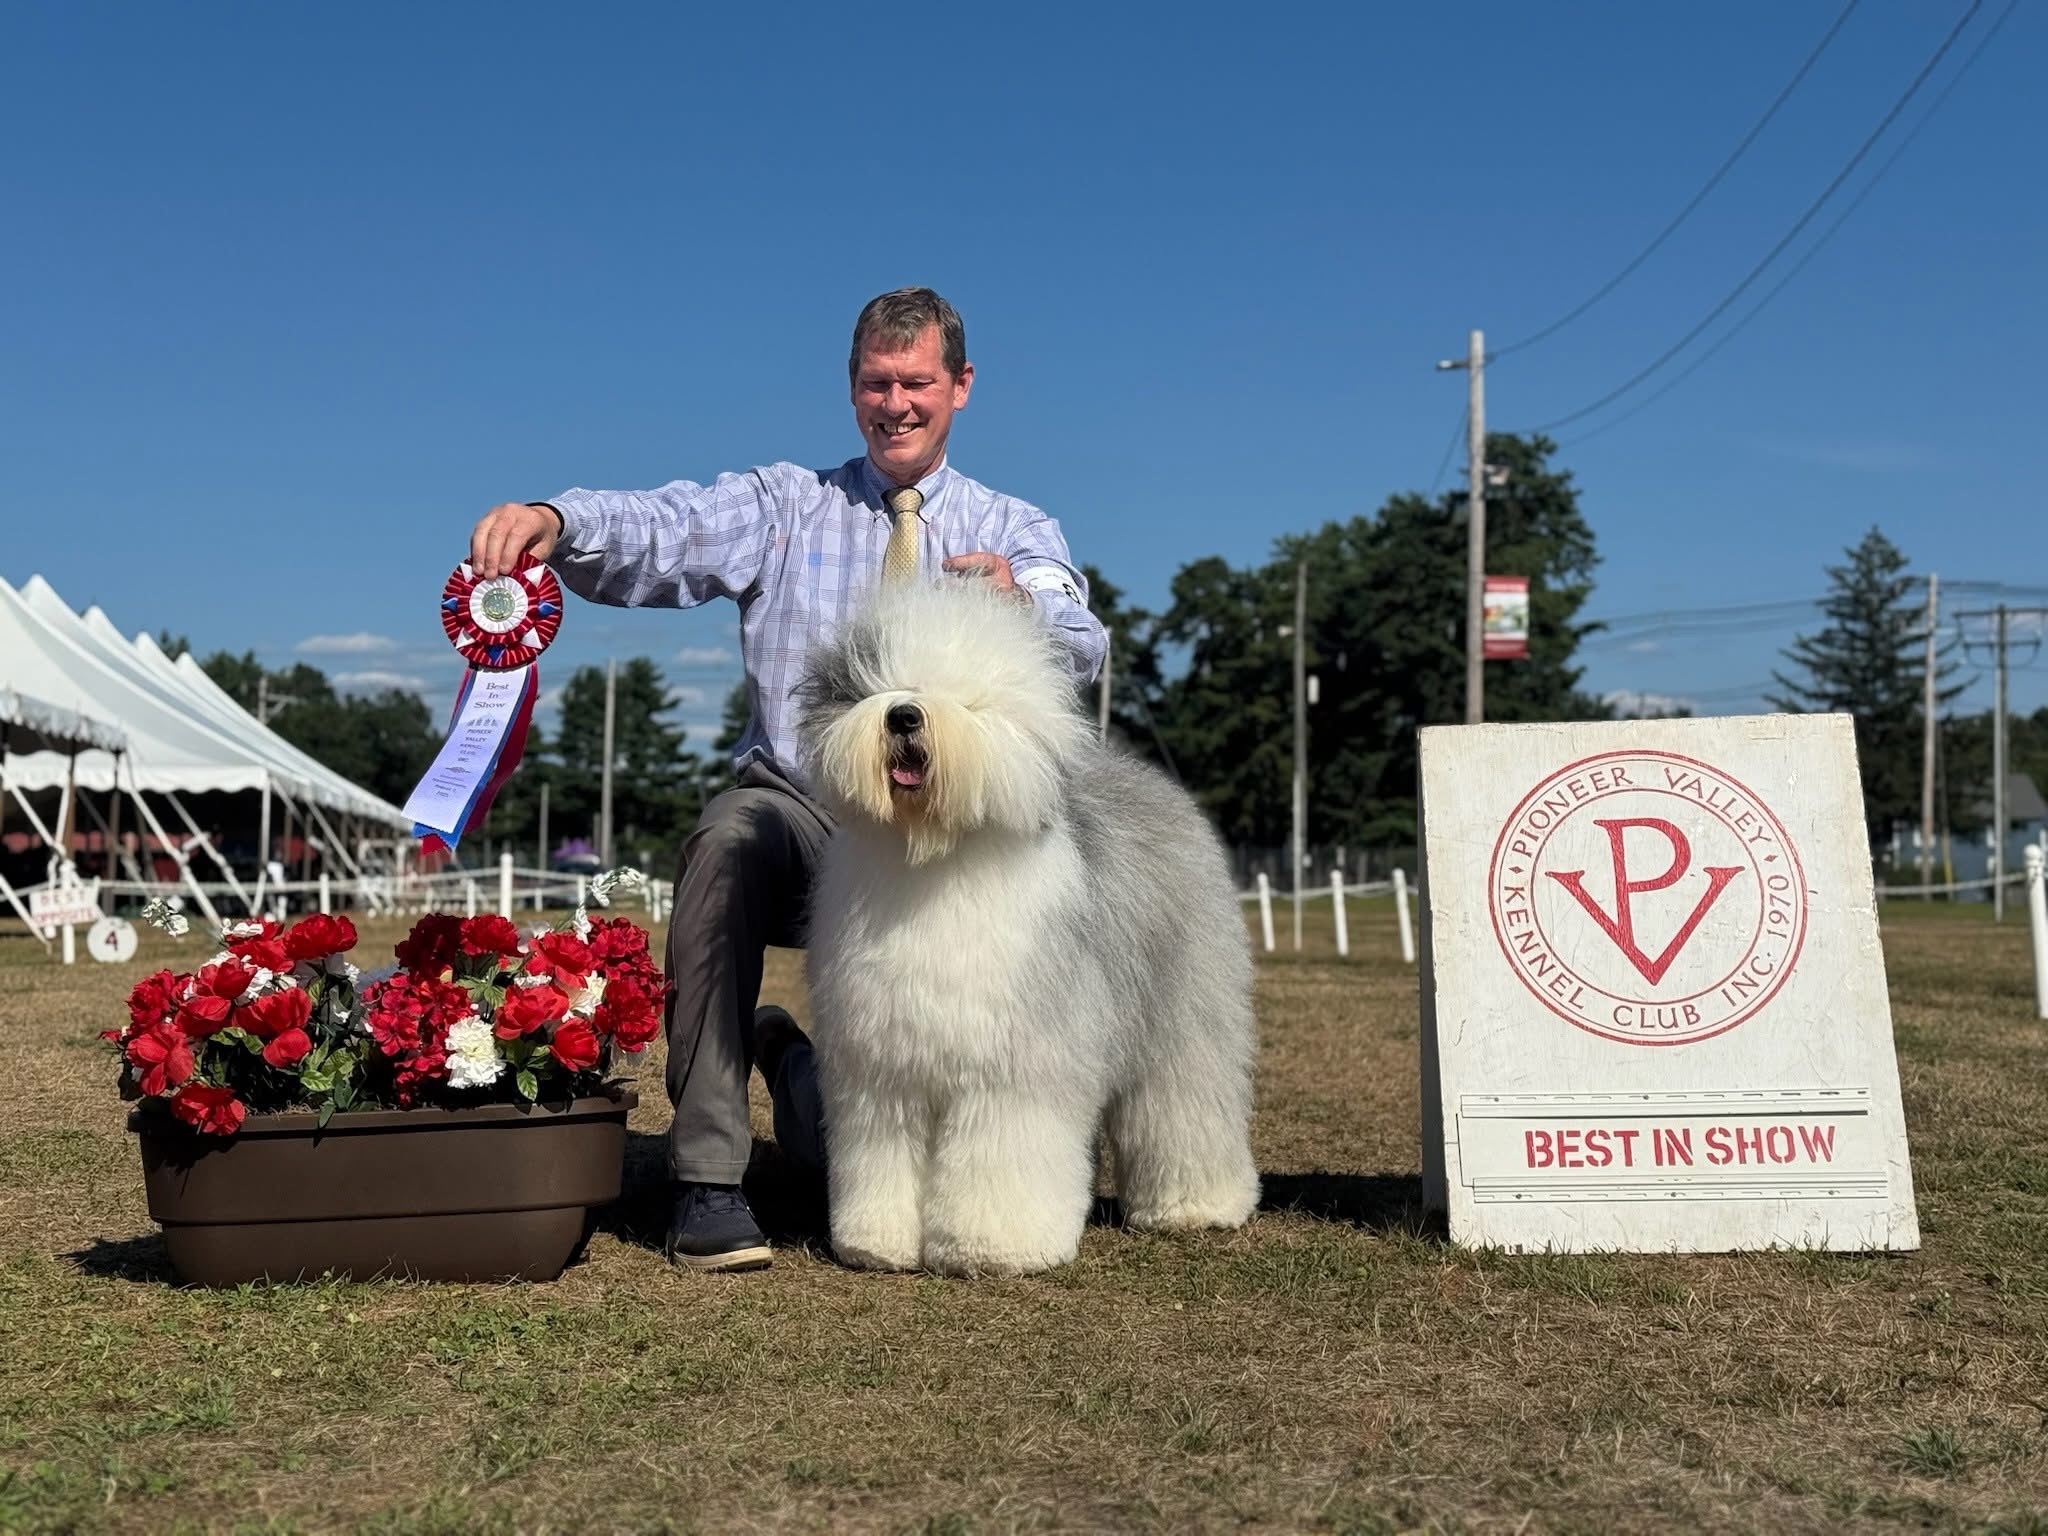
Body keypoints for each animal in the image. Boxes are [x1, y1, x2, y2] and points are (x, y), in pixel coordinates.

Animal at [796, 579, 1259, 1276]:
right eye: (877, 686)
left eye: (966, 699)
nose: (903, 715)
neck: (934, 859)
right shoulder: (883, 1066)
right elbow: (882, 1147)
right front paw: (878, 1244)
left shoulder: (1014, 1061)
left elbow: (1003, 1148)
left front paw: (991, 1246)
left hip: (1182, 1015)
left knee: (1184, 1100)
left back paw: (1195, 1206)